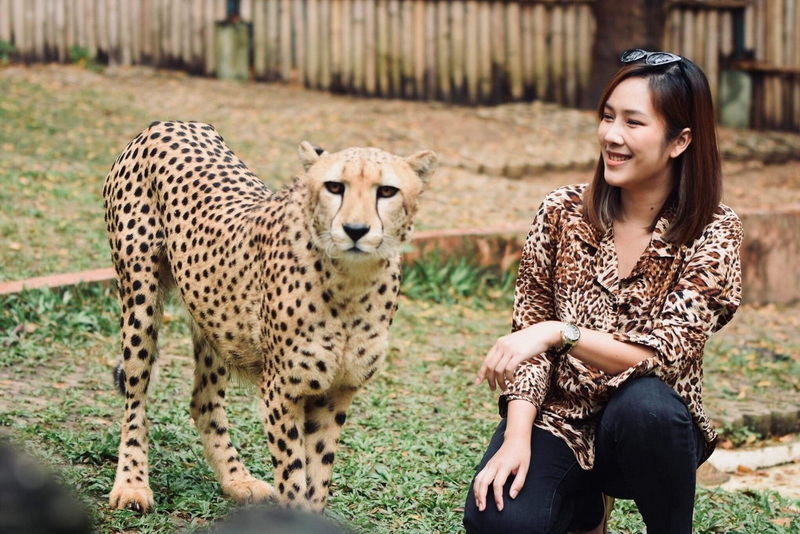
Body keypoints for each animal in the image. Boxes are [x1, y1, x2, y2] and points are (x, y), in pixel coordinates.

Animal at [102, 120, 436, 513]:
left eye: (387, 191)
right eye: (334, 186)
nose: (355, 230)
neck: (351, 285)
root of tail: (169, 124)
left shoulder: (336, 392)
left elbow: (318, 475)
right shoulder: (281, 390)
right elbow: (293, 476)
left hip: (217, 319)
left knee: (203, 401)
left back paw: (237, 479)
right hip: (140, 298)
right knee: (135, 399)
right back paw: (132, 485)